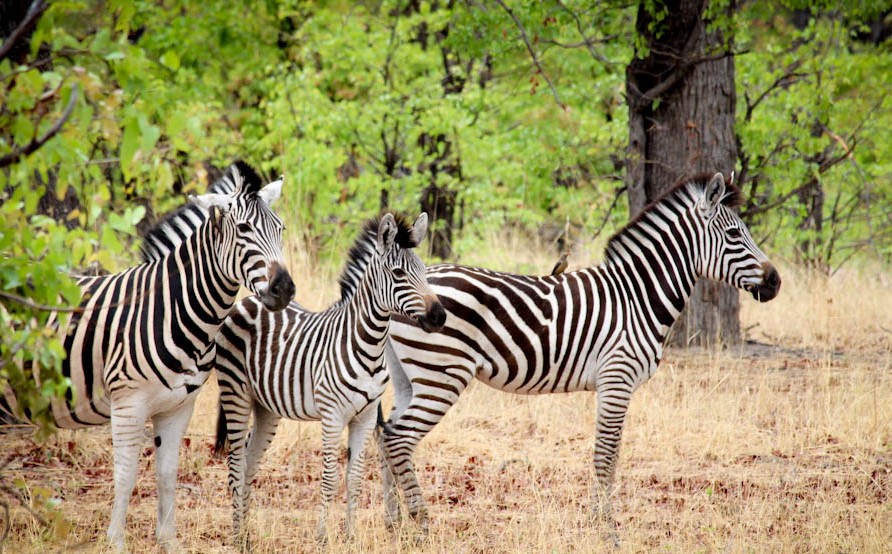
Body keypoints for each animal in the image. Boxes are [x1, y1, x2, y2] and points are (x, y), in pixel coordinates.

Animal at [1, 164, 295, 552]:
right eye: (244, 229)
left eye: (281, 228)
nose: (285, 289)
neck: (174, 309)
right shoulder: (128, 404)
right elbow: (126, 475)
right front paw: (115, 543)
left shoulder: (178, 407)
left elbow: (167, 473)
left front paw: (168, 541)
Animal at [213, 212, 446, 546]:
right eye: (399, 273)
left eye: (425, 272)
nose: (440, 316)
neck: (369, 344)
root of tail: (249, 300)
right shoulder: (333, 416)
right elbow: (329, 478)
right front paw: (323, 537)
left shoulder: (364, 417)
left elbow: (355, 476)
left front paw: (351, 535)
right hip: (235, 392)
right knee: (235, 465)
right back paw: (236, 537)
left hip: (266, 407)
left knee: (248, 462)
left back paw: (246, 534)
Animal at [377, 172, 782, 540]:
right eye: (734, 235)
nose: (775, 282)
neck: (637, 297)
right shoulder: (617, 378)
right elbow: (605, 454)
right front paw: (605, 529)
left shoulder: (616, 384)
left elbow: (611, 455)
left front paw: (600, 522)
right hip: (441, 374)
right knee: (400, 439)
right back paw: (421, 526)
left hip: (409, 377)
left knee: (385, 437)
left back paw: (394, 526)